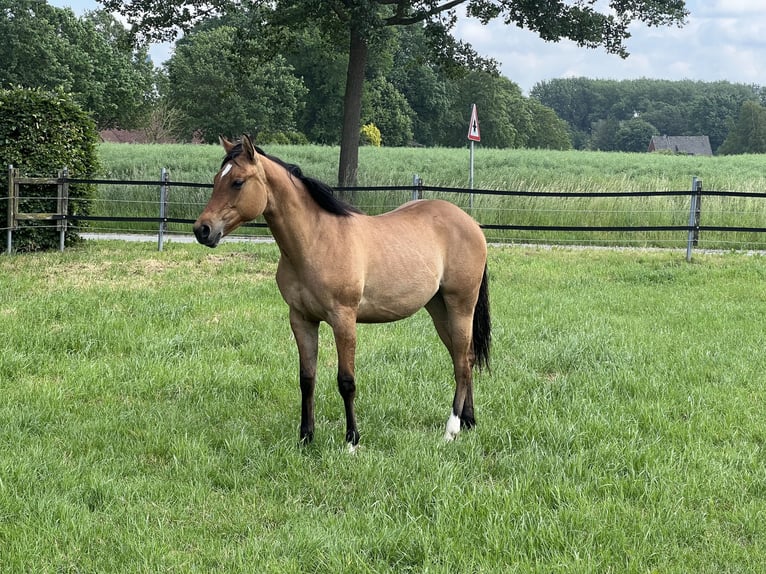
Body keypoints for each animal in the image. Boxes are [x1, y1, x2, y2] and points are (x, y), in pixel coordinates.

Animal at [194, 135, 491, 449]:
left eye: (237, 182)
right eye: (216, 179)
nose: (203, 229)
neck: (316, 240)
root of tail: (471, 224)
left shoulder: (343, 319)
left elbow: (346, 381)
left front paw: (352, 441)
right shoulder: (301, 319)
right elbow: (307, 378)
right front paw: (306, 438)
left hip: (461, 305)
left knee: (462, 362)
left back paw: (452, 429)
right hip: (438, 308)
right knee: (465, 358)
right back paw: (468, 421)